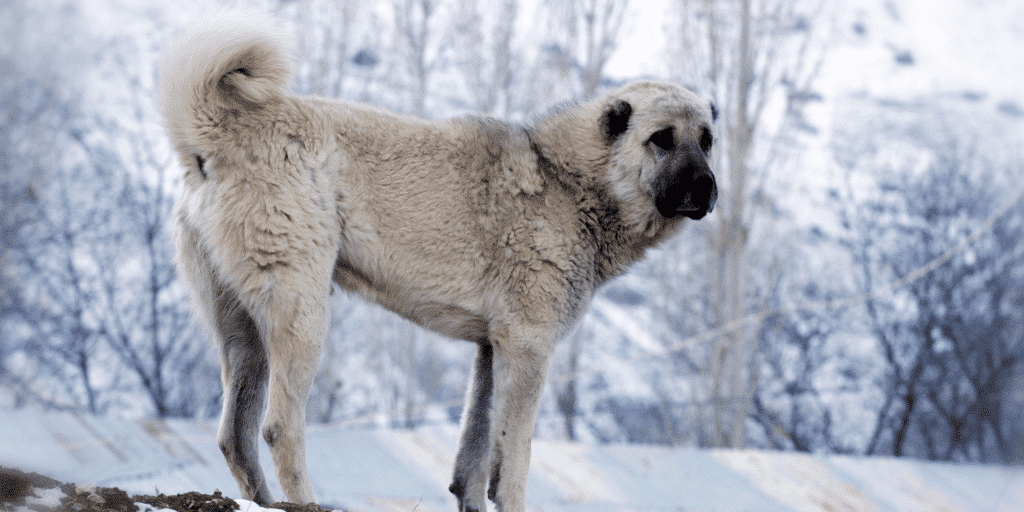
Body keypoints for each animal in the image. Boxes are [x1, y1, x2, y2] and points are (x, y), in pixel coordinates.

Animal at [159, 12, 716, 512]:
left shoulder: (493, 349)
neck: (569, 183)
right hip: (301, 312)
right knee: (279, 428)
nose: (706, 188)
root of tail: (220, 132)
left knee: (235, 436)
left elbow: (474, 456)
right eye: (662, 138)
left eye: (707, 140)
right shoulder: (528, 347)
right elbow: (514, 460)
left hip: (243, 332)